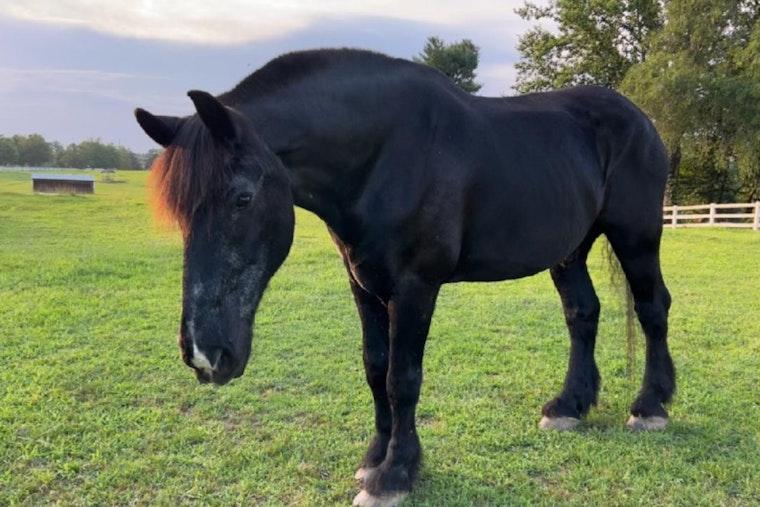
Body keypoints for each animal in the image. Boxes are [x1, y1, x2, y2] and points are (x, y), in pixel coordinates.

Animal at [135, 48, 675, 507]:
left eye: (242, 198)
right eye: (181, 214)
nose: (204, 355)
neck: (385, 154)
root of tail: (641, 120)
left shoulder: (416, 286)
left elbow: (403, 378)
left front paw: (394, 475)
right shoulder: (363, 283)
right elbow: (375, 368)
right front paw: (375, 457)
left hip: (637, 236)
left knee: (653, 309)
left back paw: (651, 407)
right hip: (570, 250)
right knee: (582, 313)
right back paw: (568, 406)